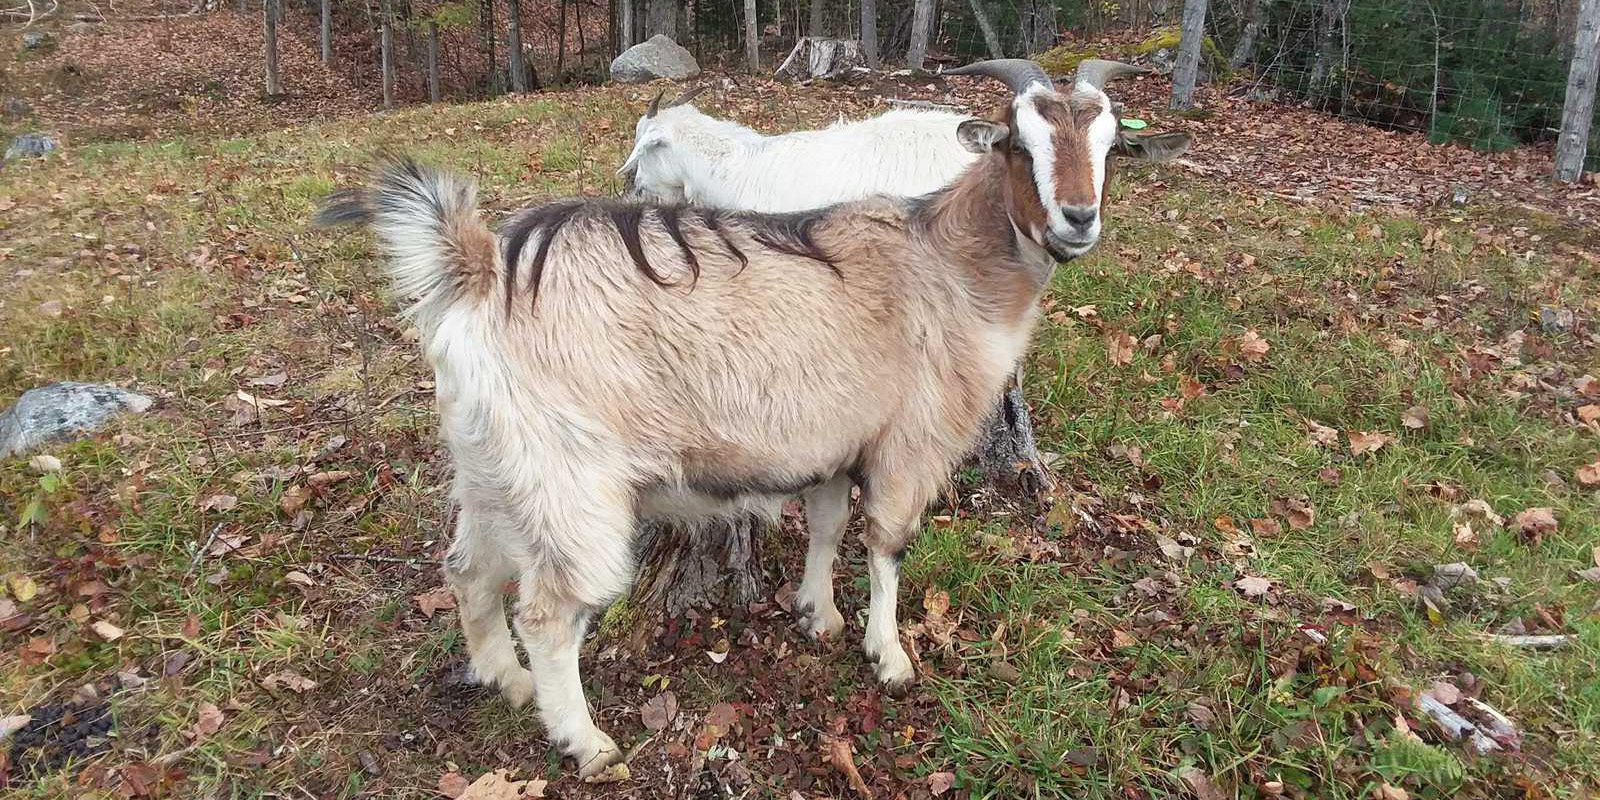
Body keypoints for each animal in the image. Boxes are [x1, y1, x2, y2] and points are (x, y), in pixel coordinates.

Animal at [313, 58, 1190, 777]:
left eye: (1110, 144)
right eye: (1017, 142)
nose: (1077, 218)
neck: (946, 264)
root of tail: (477, 271)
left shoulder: (838, 440)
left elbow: (829, 525)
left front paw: (817, 614)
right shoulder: (909, 443)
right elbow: (888, 545)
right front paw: (888, 654)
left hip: (494, 464)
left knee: (467, 568)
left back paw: (506, 679)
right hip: (570, 483)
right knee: (550, 612)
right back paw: (585, 740)